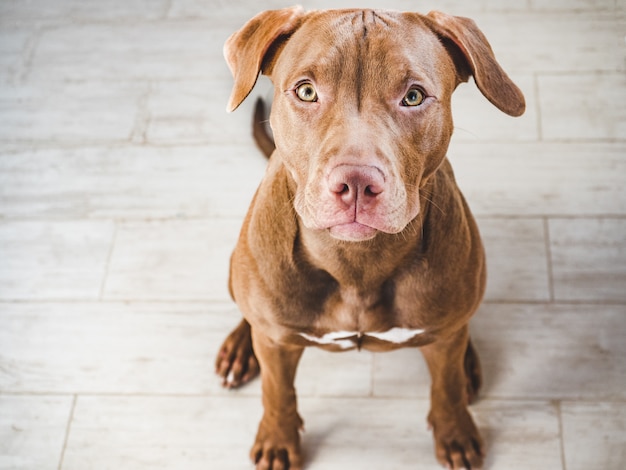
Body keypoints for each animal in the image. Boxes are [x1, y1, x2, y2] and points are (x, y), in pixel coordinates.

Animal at [214, 5, 520, 468]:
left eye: (413, 96)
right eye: (306, 91)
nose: (356, 182)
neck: (355, 263)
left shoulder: (444, 337)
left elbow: (446, 388)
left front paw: (455, 432)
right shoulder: (276, 346)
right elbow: (277, 391)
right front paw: (278, 439)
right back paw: (239, 347)